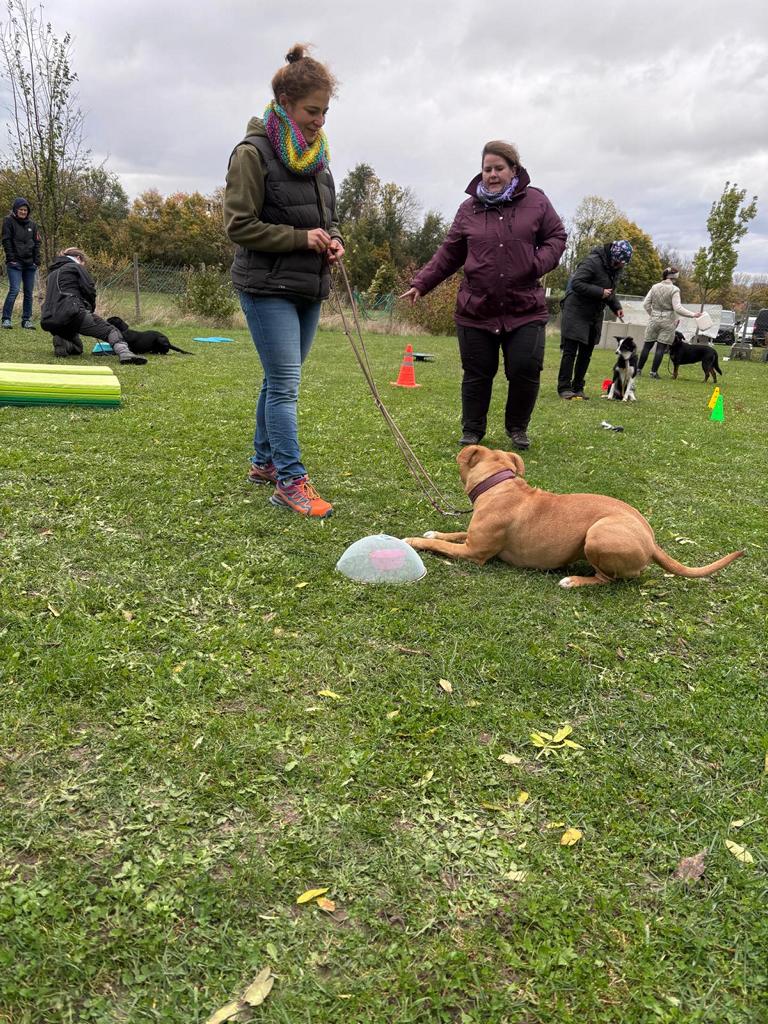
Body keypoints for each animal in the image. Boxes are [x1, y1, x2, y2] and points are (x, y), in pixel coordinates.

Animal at [404, 445, 743, 588]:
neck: (500, 483)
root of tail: (651, 540)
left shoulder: (474, 553)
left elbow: (440, 546)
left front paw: (415, 541)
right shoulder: (473, 537)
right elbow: (451, 534)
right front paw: (434, 532)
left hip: (598, 535)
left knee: (607, 580)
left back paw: (573, 580)